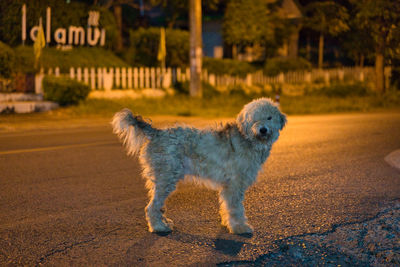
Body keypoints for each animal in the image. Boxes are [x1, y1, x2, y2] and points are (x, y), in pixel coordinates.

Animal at [112, 98, 286, 234]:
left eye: (269, 117)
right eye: (254, 119)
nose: (262, 130)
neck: (247, 139)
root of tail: (157, 133)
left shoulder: (229, 186)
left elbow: (227, 207)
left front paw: (227, 223)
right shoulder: (234, 185)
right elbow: (236, 209)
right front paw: (240, 228)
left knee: (157, 206)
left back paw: (163, 222)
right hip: (166, 178)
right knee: (152, 207)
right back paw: (158, 227)